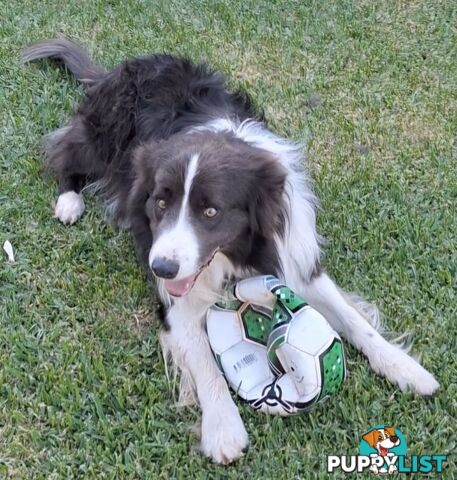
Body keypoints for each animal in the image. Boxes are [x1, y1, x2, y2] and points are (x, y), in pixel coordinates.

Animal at [22, 38, 438, 464]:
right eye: (160, 202)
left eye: (211, 211)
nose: (162, 268)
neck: (236, 256)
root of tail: (118, 70)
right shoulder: (175, 300)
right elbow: (205, 361)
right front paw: (223, 429)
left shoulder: (295, 257)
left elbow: (355, 321)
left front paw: (405, 368)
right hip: (105, 133)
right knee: (66, 153)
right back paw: (69, 201)